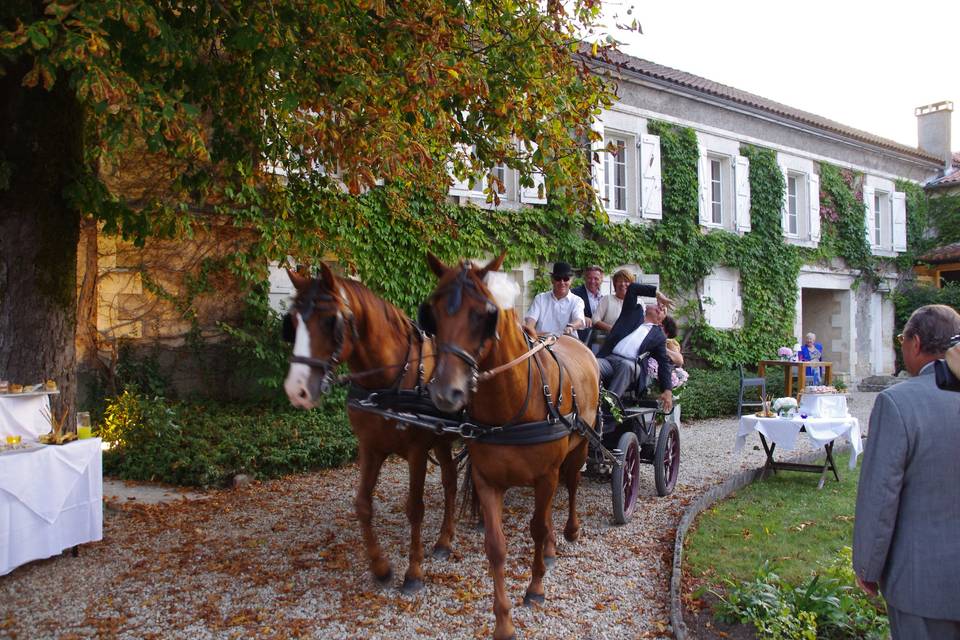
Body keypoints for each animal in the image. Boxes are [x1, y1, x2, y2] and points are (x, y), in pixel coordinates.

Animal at [284, 262, 460, 592]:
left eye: (330, 321)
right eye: (293, 322)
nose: (296, 390)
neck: (389, 381)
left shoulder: (417, 451)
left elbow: (414, 508)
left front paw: (413, 572)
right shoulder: (370, 446)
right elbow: (363, 504)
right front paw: (380, 567)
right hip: (443, 440)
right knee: (452, 481)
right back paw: (447, 539)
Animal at [420, 252, 600, 636]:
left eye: (484, 314)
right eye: (433, 312)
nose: (445, 392)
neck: (512, 401)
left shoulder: (545, 476)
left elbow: (537, 527)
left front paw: (535, 587)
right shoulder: (488, 481)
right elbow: (496, 546)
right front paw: (503, 620)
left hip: (579, 445)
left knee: (572, 485)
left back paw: (570, 530)